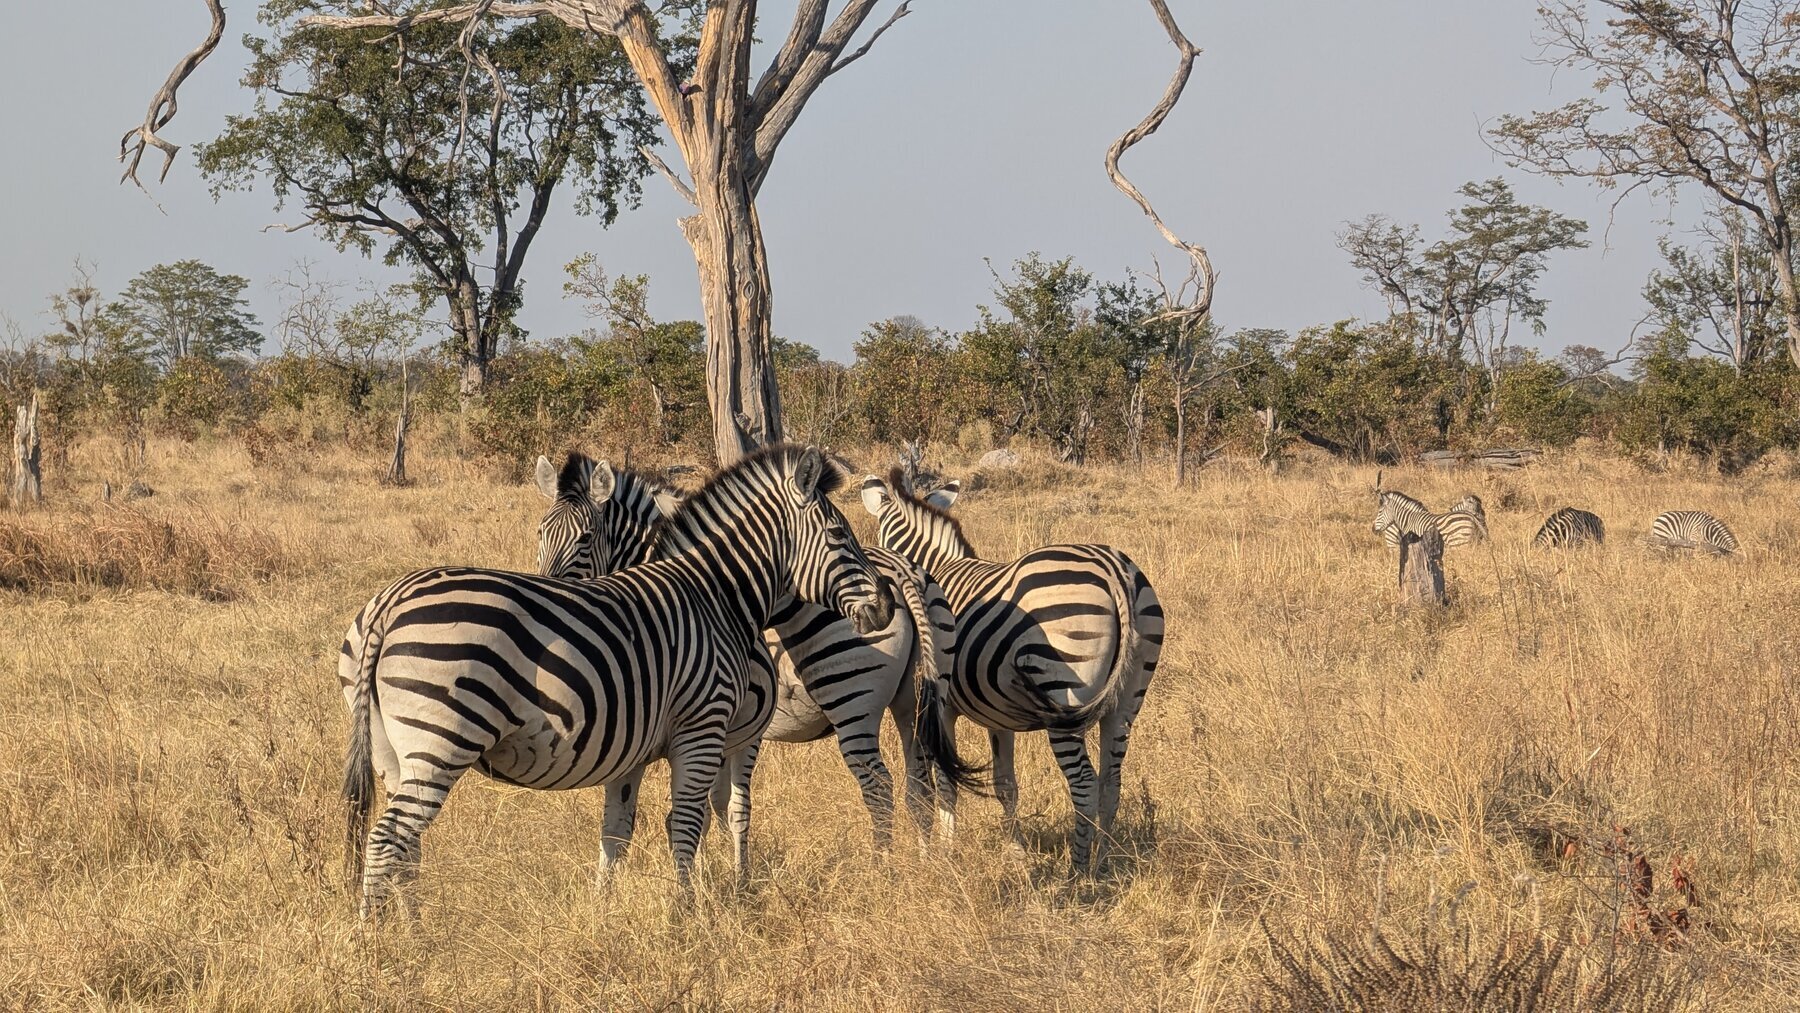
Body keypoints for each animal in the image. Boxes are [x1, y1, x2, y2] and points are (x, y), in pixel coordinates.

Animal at [336, 445, 892, 915]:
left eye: (584, 539)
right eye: (840, 536)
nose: (884, 607)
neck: (714, 595)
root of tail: (390, 603)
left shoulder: (634, 747)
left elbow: (617, 832)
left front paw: (603, 912)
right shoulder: (702, 727)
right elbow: (685, 823)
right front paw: (685, 915)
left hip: (392, 752)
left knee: (405, 843)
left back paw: (413, 927)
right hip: (441, 742)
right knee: (388, 838)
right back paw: (380, 942)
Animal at [534, 452, 980, 848]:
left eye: (586, 539)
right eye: (540, 533)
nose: (551, 598)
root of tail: (902, 573)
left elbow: (711, 807)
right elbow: (715, 804)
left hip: (851, 695)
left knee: (879, 787)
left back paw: (882, 868)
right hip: (918, 700)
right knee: (923, 785)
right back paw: (926, 863)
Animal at [859, 470, 1164, 875]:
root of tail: (1116, 573)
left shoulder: (944, 707)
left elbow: (947, 782)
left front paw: (947, 850)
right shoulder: (997, 714)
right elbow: (1006, 784)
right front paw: (1015, 851)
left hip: (1064, 693)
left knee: (1084, 784)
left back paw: (1077, 872)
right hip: (1127, 698)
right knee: (1111, 784)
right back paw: (1103, 861)